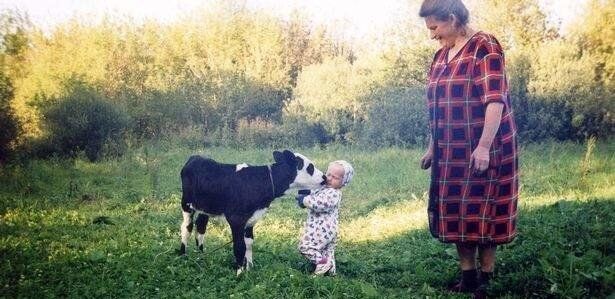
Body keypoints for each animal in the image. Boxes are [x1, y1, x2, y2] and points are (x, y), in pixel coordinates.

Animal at [179, 150, 328, 274]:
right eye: (310, 167)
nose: (325, 178)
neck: (259, 182)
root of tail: (196, 157)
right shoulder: (236, 219)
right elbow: (239, 246)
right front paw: (240, 273)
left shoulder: (251, 220)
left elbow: (249, 244)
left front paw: (249, 268)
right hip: (186, 204)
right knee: (187, 227)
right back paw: (182, 255)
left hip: (206, 208)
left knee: (201, 227)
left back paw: (201, 255)